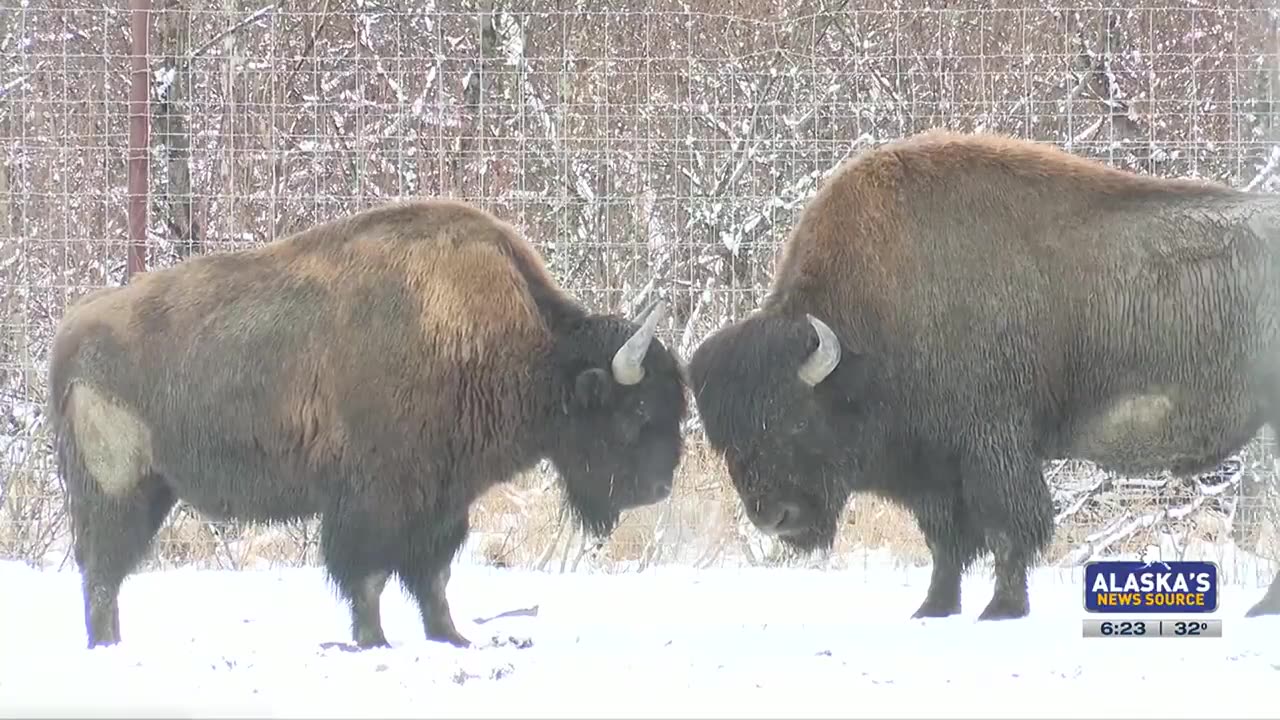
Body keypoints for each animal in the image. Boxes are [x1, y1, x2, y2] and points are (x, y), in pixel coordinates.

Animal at [47, 196, 691, 650]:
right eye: (636, 411)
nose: (660, 489)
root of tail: (75, 328)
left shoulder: (441, 501)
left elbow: (433, 577)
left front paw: (451, 637)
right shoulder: (375, 501)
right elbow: (370, 576)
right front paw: (372, 641)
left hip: (151, 489)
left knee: (104, 571)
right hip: (118, 488)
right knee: (102, 569)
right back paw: (107, 647)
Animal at [691, 128, 1280, 622]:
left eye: (795, 420)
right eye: (725, 441)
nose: (775, 518)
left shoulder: (992, 447)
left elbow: (1006, 529)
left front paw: (1001, 609)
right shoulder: (932, 468)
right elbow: (945, 542)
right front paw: (933, 608)